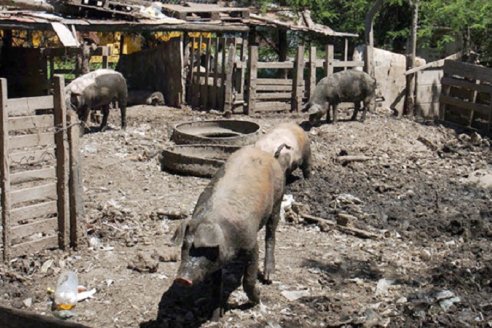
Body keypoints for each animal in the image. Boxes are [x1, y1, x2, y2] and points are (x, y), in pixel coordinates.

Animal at [173, 147, 286, 320]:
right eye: (184, 246)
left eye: (204, 249)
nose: (182, 279)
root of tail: (268, 155)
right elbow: (216, 284)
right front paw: (214, 317)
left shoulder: (251, 243)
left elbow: (249, 278)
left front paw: (257, 299)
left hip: (278, 199)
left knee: (271, 234)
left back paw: (269, 278)